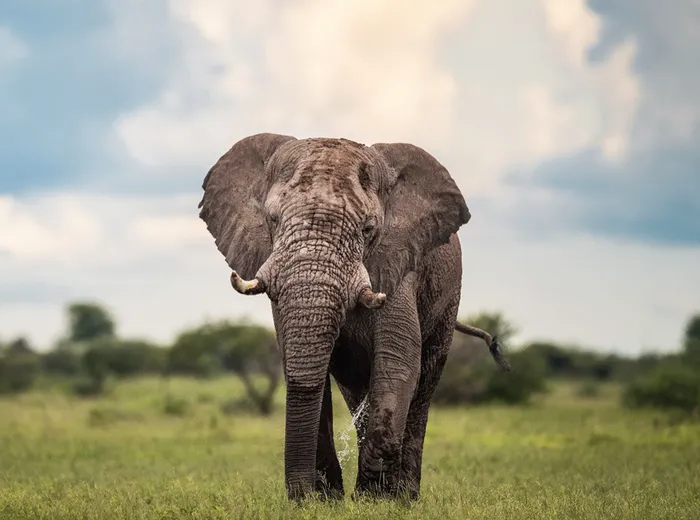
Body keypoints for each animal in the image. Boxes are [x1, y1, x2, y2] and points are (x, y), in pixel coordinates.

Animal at [197, 133, 509, 501]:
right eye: (272, 219)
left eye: (368, 228)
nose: (299, 496)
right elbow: (300, 365)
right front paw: (323, 501)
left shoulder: (399, 264)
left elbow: (398, 361)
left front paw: (371, 500)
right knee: (356, 388)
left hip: (448, 301)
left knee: (425, 382)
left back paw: (405, 497)